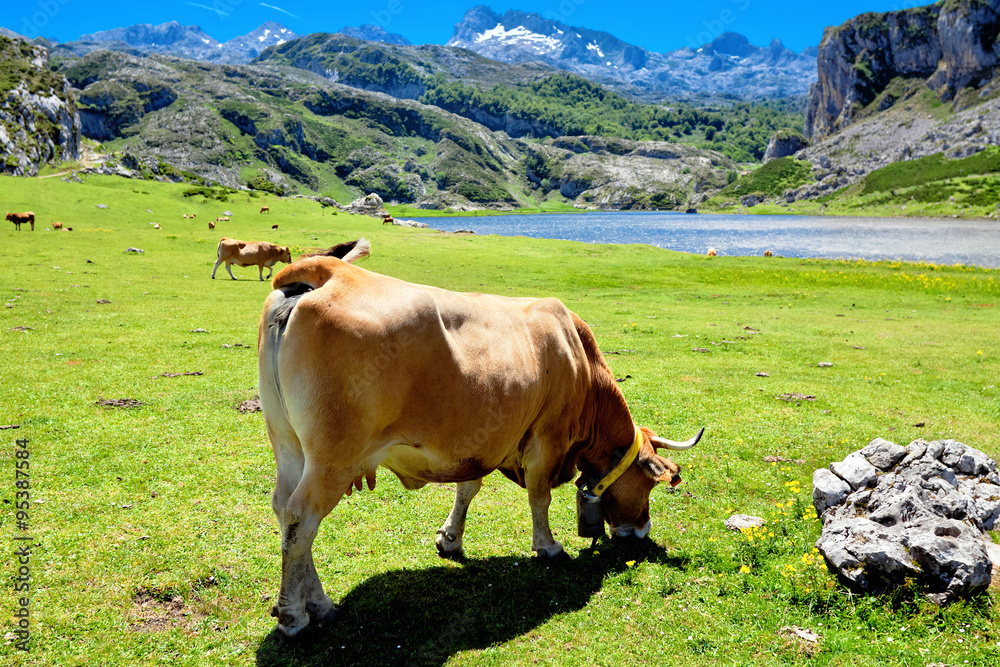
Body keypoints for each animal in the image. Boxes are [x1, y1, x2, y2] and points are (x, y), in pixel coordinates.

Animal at [258, 251, 702, 636]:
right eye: (648, 484)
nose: (642, 530)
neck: (579, 363)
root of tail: (329, 271)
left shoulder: (477, 444)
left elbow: (467, 488)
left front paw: (450, 539)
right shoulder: (546, 439)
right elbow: (540, 497)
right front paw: (548, 546)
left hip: (289, 445)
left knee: (285, 512)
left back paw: (319, 604)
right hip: (333, 457)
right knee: (301, 519)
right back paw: (295, 615)